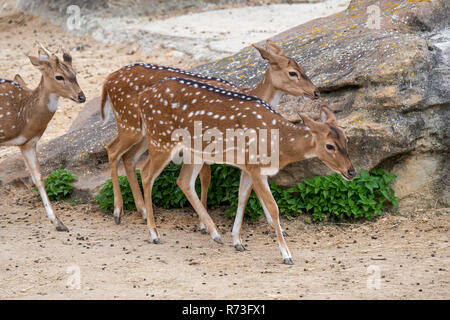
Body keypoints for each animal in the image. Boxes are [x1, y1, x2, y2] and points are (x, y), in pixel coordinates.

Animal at [0, 43, 86, 231]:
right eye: (59, 76)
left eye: (75, 73)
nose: (81, 97)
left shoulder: (28, 142)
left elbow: (38, 178)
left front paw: (59, 223)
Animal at [100, 40, 318, 225]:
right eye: (292, 73)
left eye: (303, 68)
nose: (316, 92)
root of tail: (107, 81)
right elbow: (206, 177)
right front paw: (203, 224)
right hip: (130, 122)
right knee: (112, 149)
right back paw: (118, 211)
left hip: (148, 133)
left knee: (128, 157)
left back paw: (143, 210)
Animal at [137, 76, 356, 264]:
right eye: (329, 146)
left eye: (346, 139)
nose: (351, 171)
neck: (278, 144)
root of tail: (143, 97)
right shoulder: (255, 165)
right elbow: (273, 207)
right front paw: (287, 255)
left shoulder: (250, 166)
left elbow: (242, 197)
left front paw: (237, 241)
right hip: (161, 138)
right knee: (146, 173)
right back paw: (155, 234)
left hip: (194, 151)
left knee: (183, 181)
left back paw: (215, 234)